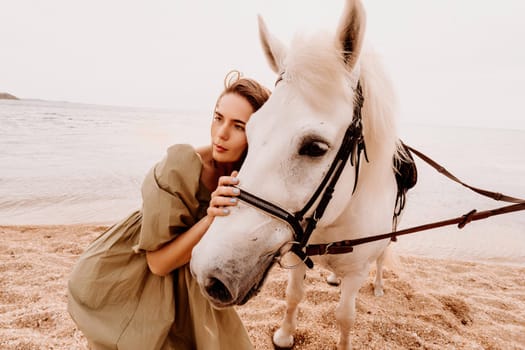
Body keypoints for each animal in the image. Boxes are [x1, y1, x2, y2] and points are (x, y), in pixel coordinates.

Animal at [190, 1, 404, 348]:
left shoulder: (357, 273)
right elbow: (293, 295)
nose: (207, 274)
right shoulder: (294, 254)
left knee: (383, 259)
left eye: (315, 147)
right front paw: (284, 334)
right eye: (249, 131)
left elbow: (345, 317)